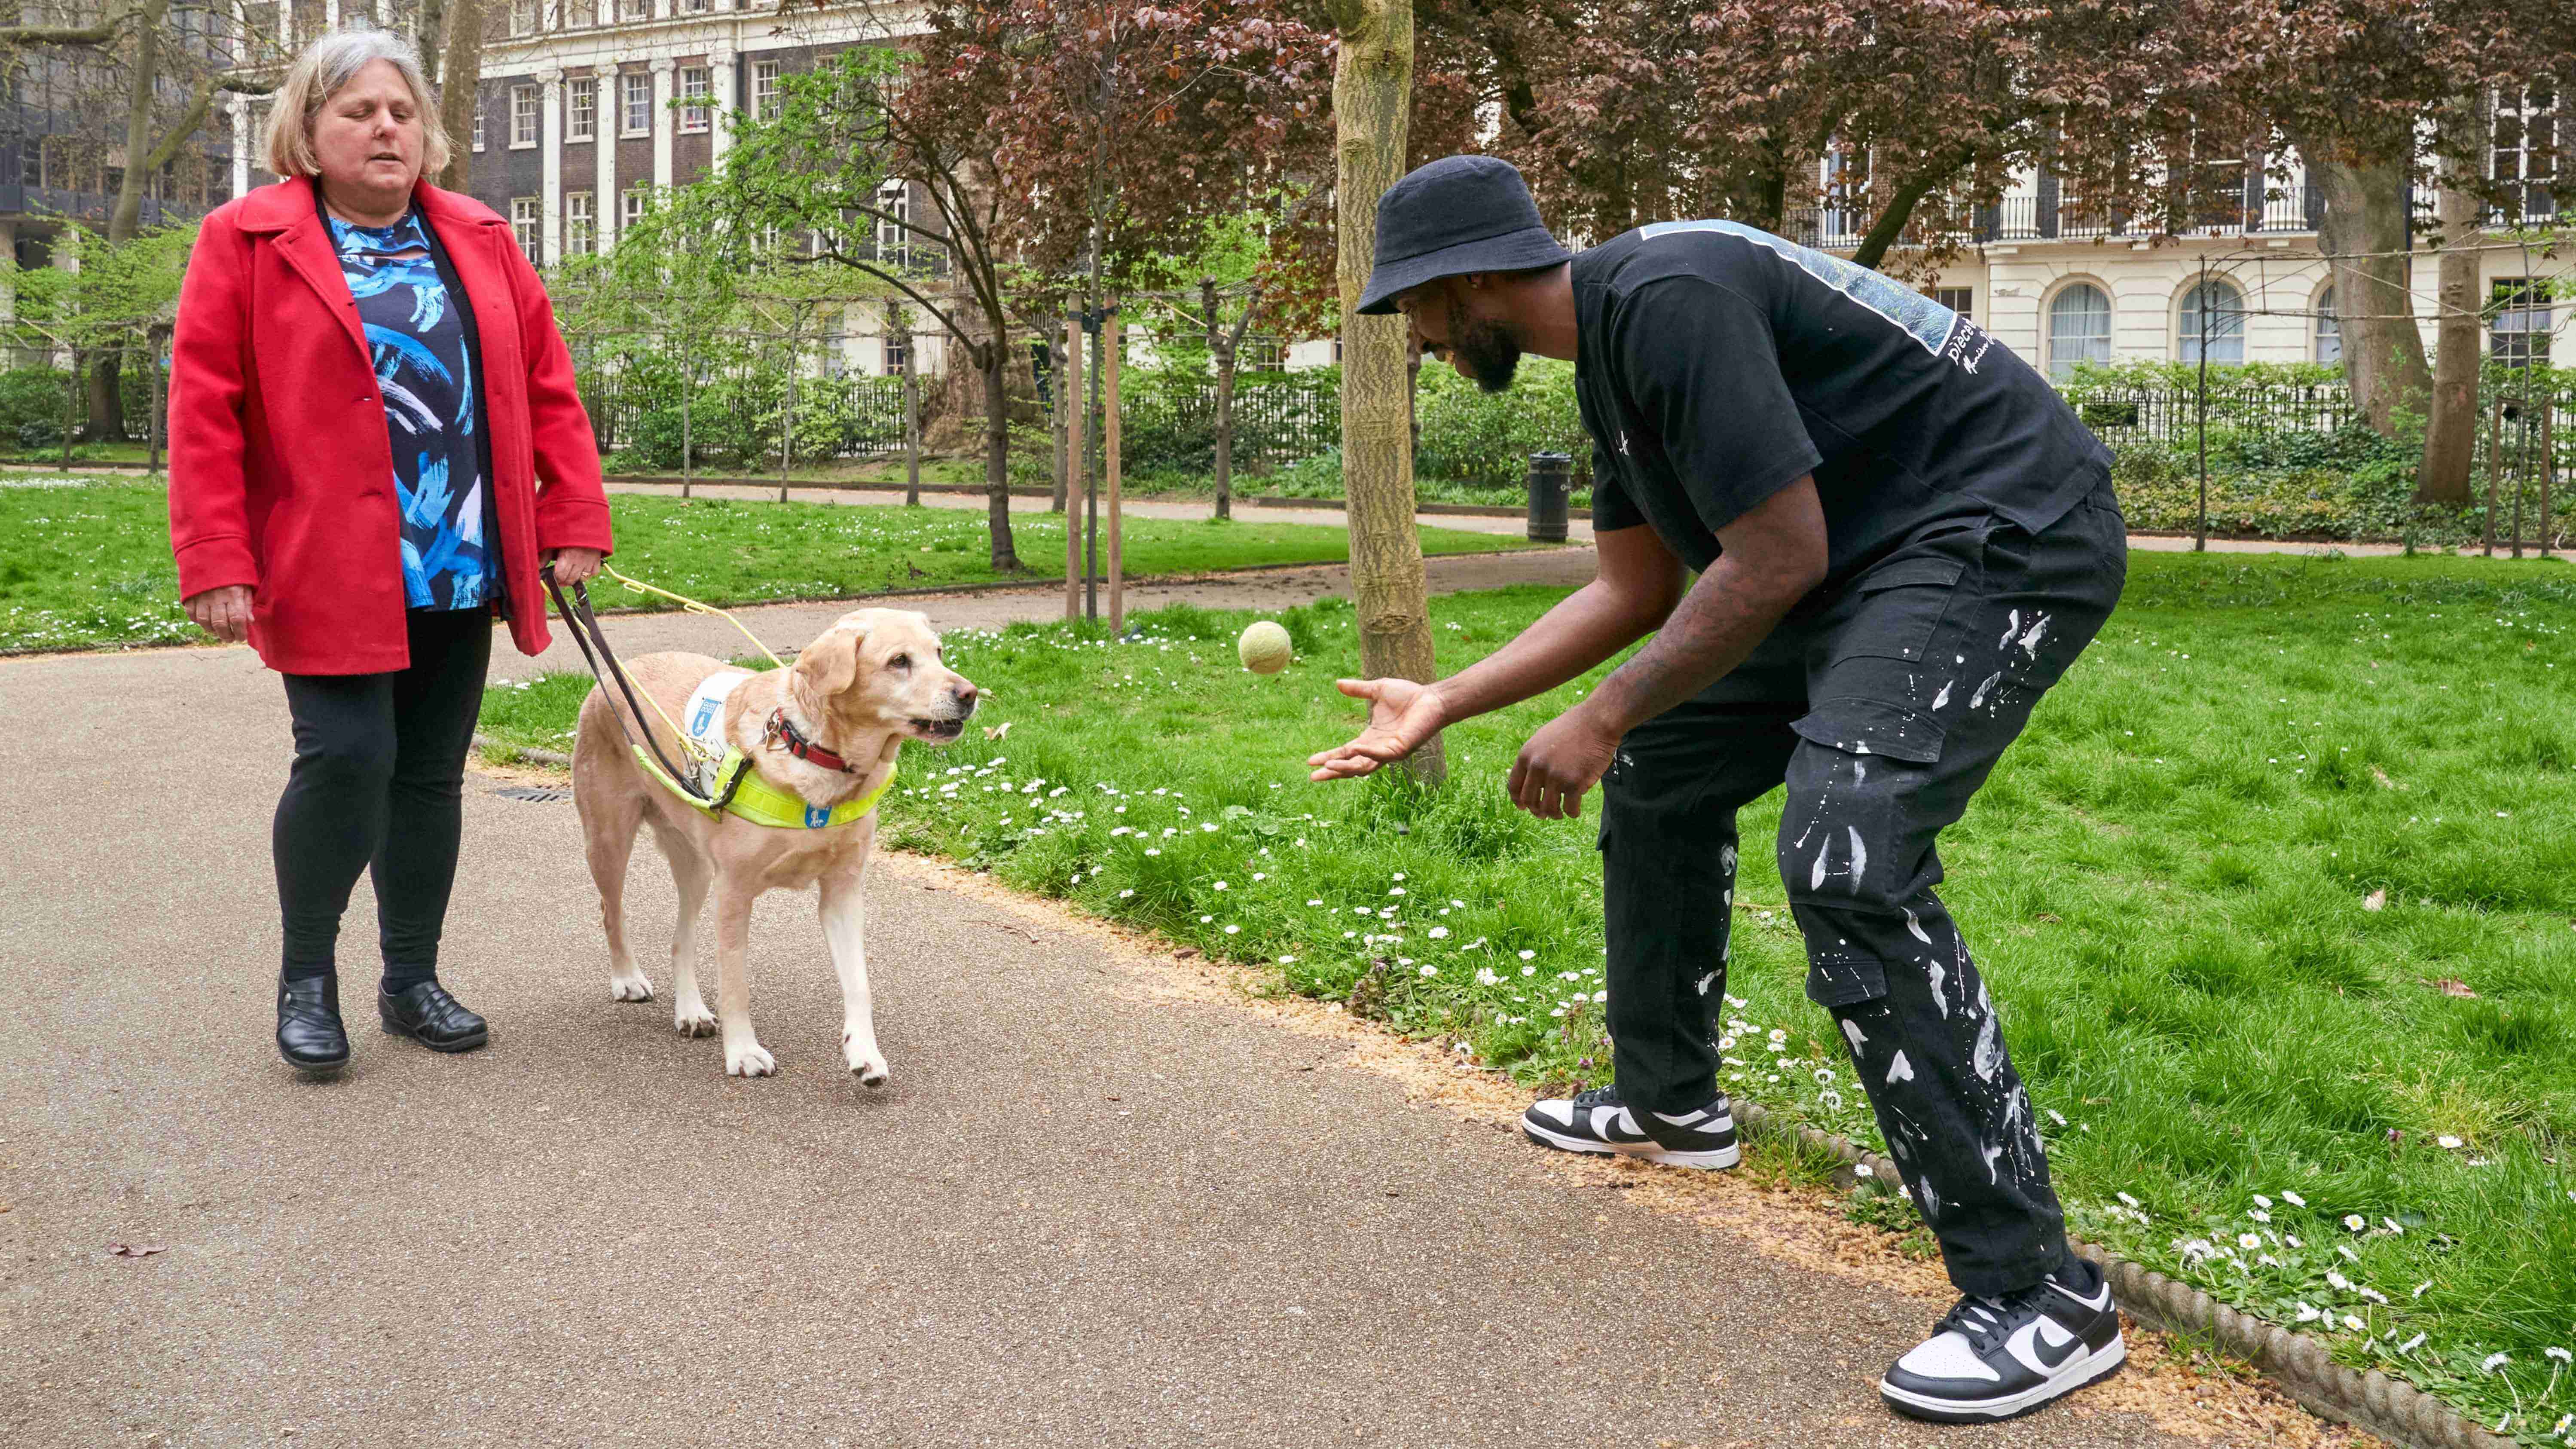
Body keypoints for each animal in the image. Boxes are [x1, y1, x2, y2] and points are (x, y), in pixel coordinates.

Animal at [574, 603, 974, 1078]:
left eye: (939, 652)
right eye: (899, 661)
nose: (970, 694)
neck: (814, 752)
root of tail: (614, 672)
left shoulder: (842, 893)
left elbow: (859, 983)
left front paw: (864, 1053)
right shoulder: (734, 892)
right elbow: (736, 984)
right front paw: (743, 1051)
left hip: (695, 867)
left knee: (680, 940)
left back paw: (690, 1010)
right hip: (609, 840)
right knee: (609, 911)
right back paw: (627, 978)